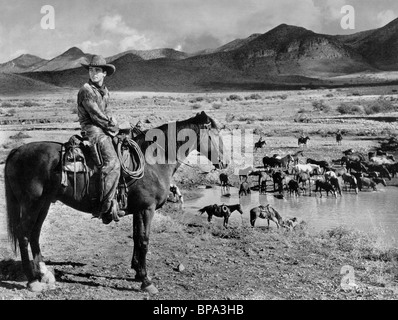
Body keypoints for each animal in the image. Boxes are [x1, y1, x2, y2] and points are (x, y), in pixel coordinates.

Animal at [4, 110, 227, 296]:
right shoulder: (147, 209)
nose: (224, 163)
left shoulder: (138, 210)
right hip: (32, 204)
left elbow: (137, 238)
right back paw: (32, 281)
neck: (153, 161)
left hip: (44, 203)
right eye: (215, 134)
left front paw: (137, 272)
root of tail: (17, 151)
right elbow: (144, 241)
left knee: (35, 234)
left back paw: (44, 274)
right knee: (24, 235)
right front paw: (146, 281)